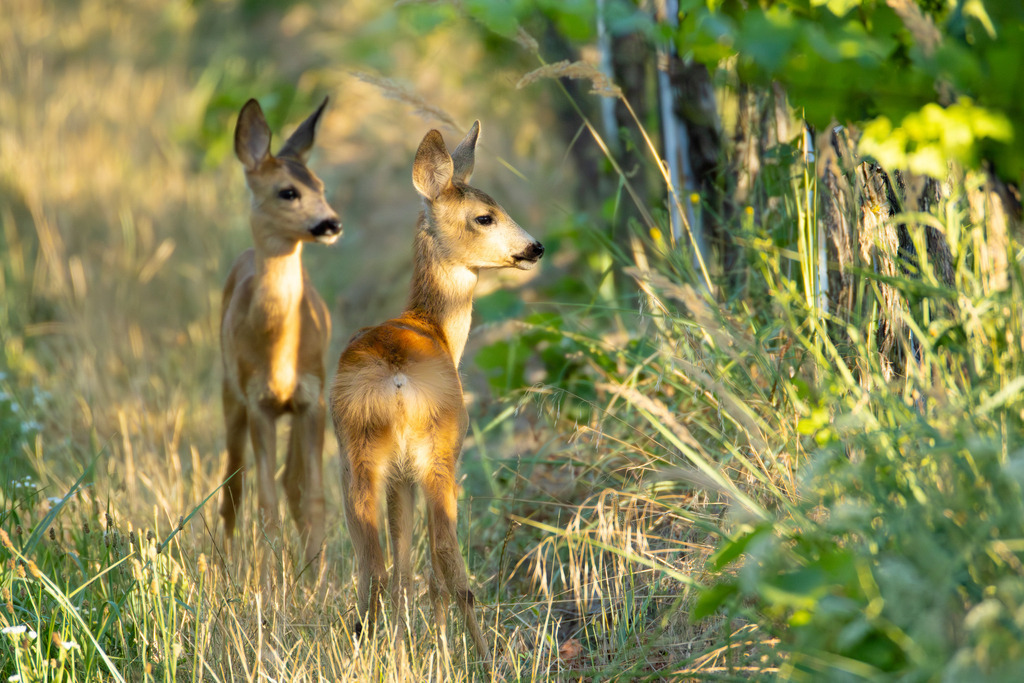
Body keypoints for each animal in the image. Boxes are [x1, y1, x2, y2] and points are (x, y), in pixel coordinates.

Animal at [219, 97, 341, 586]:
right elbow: (265, 499)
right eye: (287, 192)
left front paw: (318, 581)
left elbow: (313, 494)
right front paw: (271, 585)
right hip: (228, 392)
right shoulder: (259, 402)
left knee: (291, 480)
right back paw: (225, 563)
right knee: (232, 485)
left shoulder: (313, 397)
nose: (331, 223)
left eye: (321, 185)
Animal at [330, 121, 543, 662]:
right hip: (439, 452)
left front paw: (405, 648)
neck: (435, 326)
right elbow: (433, 571)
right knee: (450, 565)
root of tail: (397, 378)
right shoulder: (433, 459)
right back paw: (486, 660)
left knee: (374, 568)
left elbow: (404, 567)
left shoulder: (398, 475)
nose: (535, 247)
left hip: (358, 459)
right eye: (484, 216)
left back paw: (367, 651)